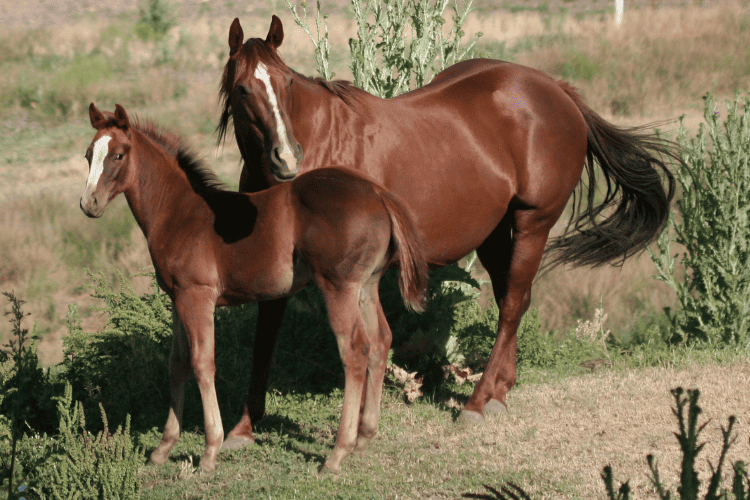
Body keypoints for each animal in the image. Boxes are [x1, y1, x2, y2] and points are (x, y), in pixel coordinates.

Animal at [81, 102, 428, 472]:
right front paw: (162, 449)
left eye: (118, 155)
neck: (178, 213)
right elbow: (177, 362)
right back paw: (364, 437)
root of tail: (377, 193)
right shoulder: (178, 298)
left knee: (354, 349)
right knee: (380, 341)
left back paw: (337, 453)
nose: (89, 203)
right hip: (366, 285)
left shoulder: (197, 296)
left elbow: (203, 363)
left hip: (339, 286)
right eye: (88, 154)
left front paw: (210, 451)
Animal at [217, 15, 680, 436]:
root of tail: (556, 90)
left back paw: (477, 403)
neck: (321, 145)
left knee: (513, 303)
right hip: (494, 231)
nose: (286, 159)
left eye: (286, 83)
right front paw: (244, 426)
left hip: (533, 222)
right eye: (242, 88)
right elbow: (265, 335)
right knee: (513, 298)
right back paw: (500, 391)